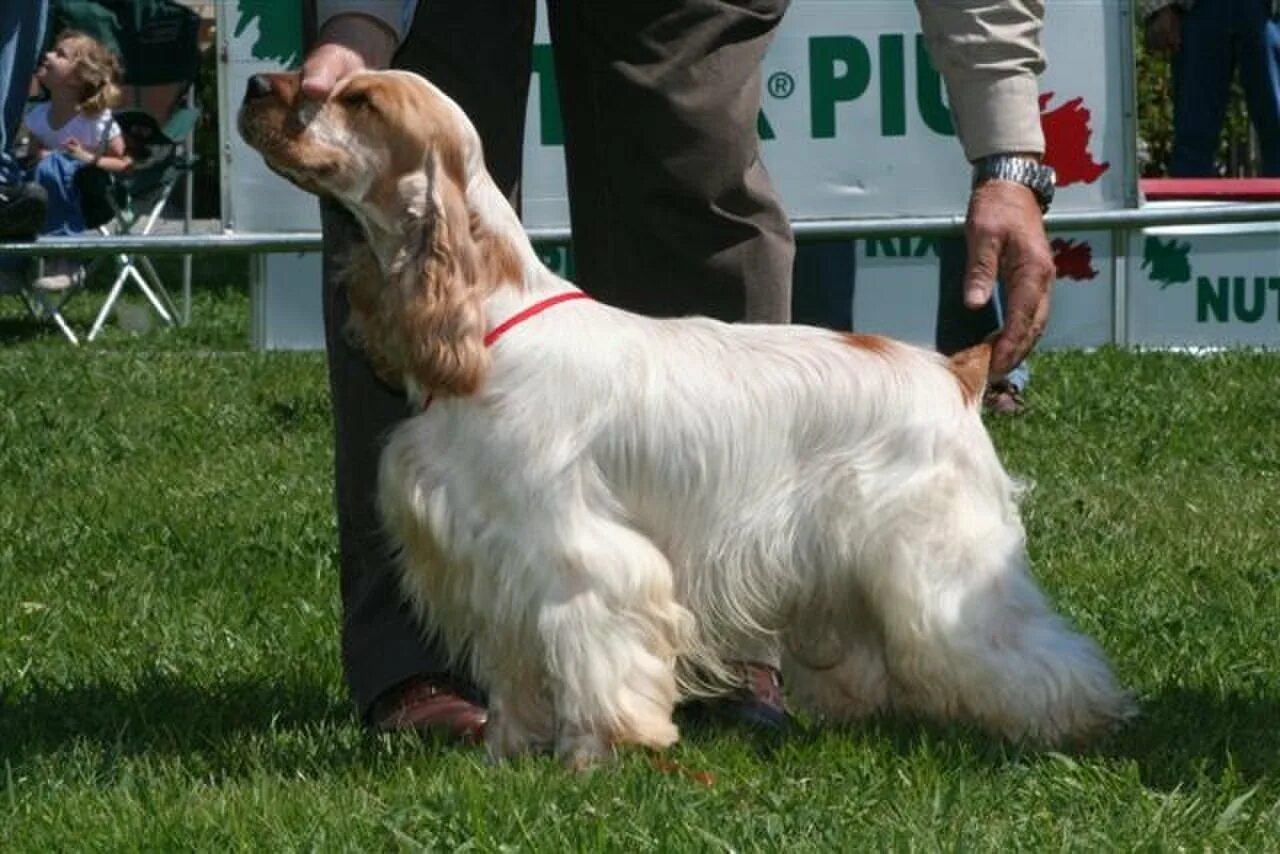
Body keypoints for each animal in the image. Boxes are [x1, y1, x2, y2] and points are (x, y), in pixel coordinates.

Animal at [240, 68, 1131, 768]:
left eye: (359, 101)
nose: (253, 86)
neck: (485, 322)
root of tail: (953, 368)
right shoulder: (492, 559)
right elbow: (516, 673)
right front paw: (505, 755)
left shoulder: (580, 554)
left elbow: (591, 655)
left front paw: (595, 754)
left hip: (941, 556)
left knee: (1029, 648)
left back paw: (1080, 723)